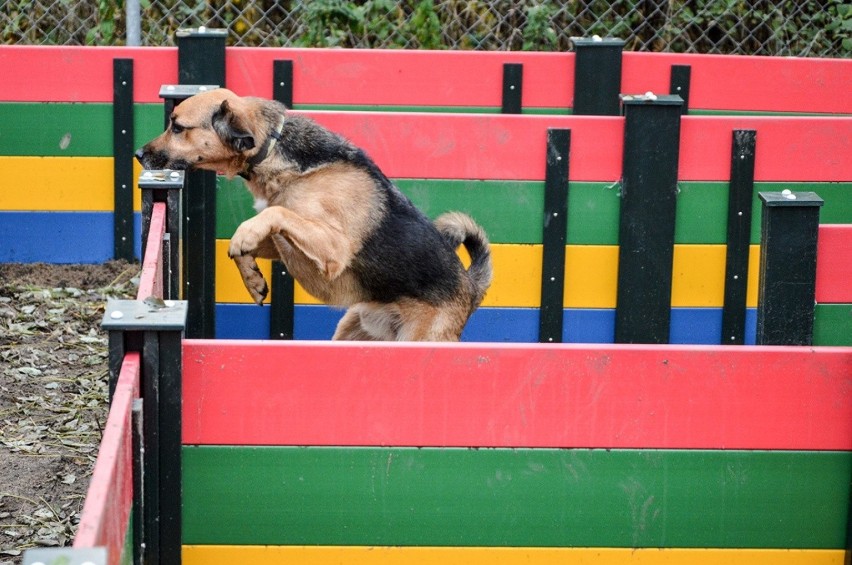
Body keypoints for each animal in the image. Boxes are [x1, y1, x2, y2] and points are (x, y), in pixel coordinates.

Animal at [134, 87, 492, 340]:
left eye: (177, 127)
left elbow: (274, 215)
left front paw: (244, 240)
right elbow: (252, 235)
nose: (138, 154)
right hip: (351, 330)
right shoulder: (285, 240)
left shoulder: (333, 249)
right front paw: (252, 278)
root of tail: (470, 287)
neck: (271, 149)